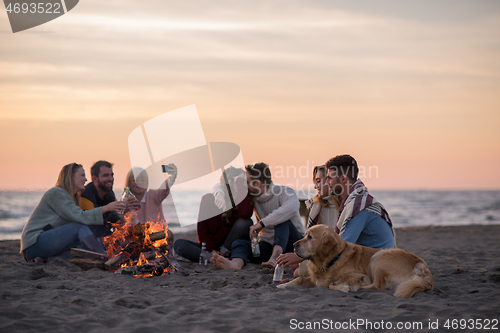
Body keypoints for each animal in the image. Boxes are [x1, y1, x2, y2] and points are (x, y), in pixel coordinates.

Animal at [278, 224, 434, 296]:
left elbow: (332, 284)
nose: (294, 245)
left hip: (379, 257)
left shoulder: (357, 274)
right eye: (304, 235)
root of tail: (423, 268)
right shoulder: (315, 279)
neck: (331, 261)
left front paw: (345, 286)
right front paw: (283, 285)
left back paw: (359, 286)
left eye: (310, 237)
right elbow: (298, 279)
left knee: (378, 285)